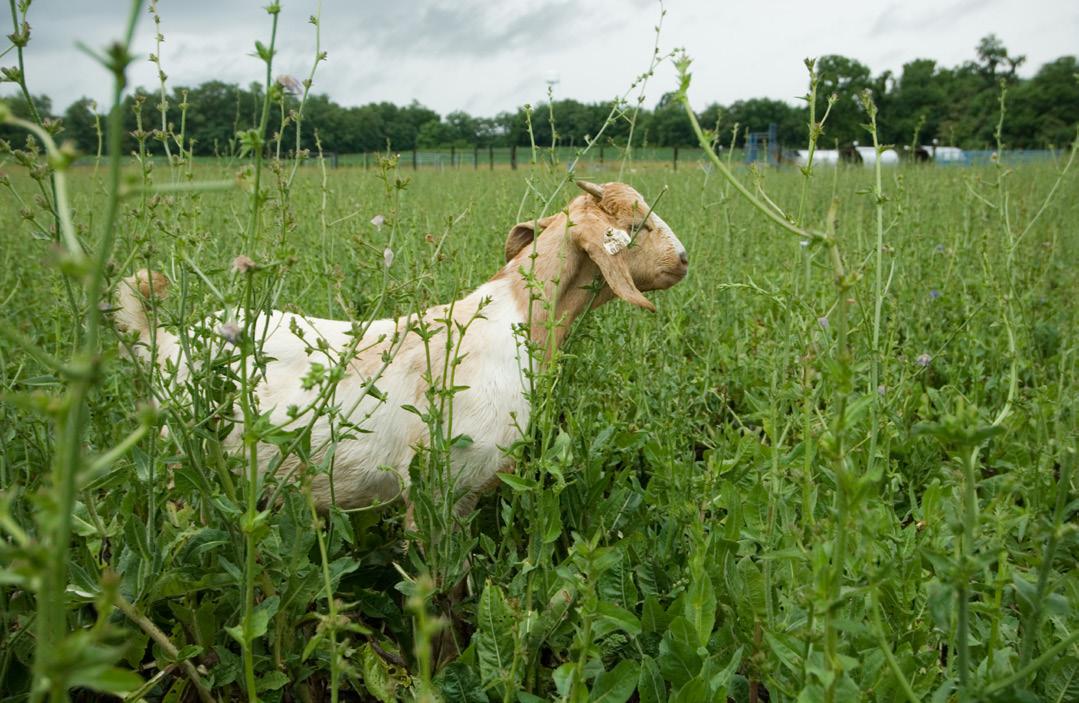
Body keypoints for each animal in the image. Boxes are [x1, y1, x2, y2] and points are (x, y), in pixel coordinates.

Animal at [115, 180, 690, 511]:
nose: (684, 259)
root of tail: (161, 340)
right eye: (638, 224)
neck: (519, 322)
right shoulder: (441, 485)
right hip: (182, 469)